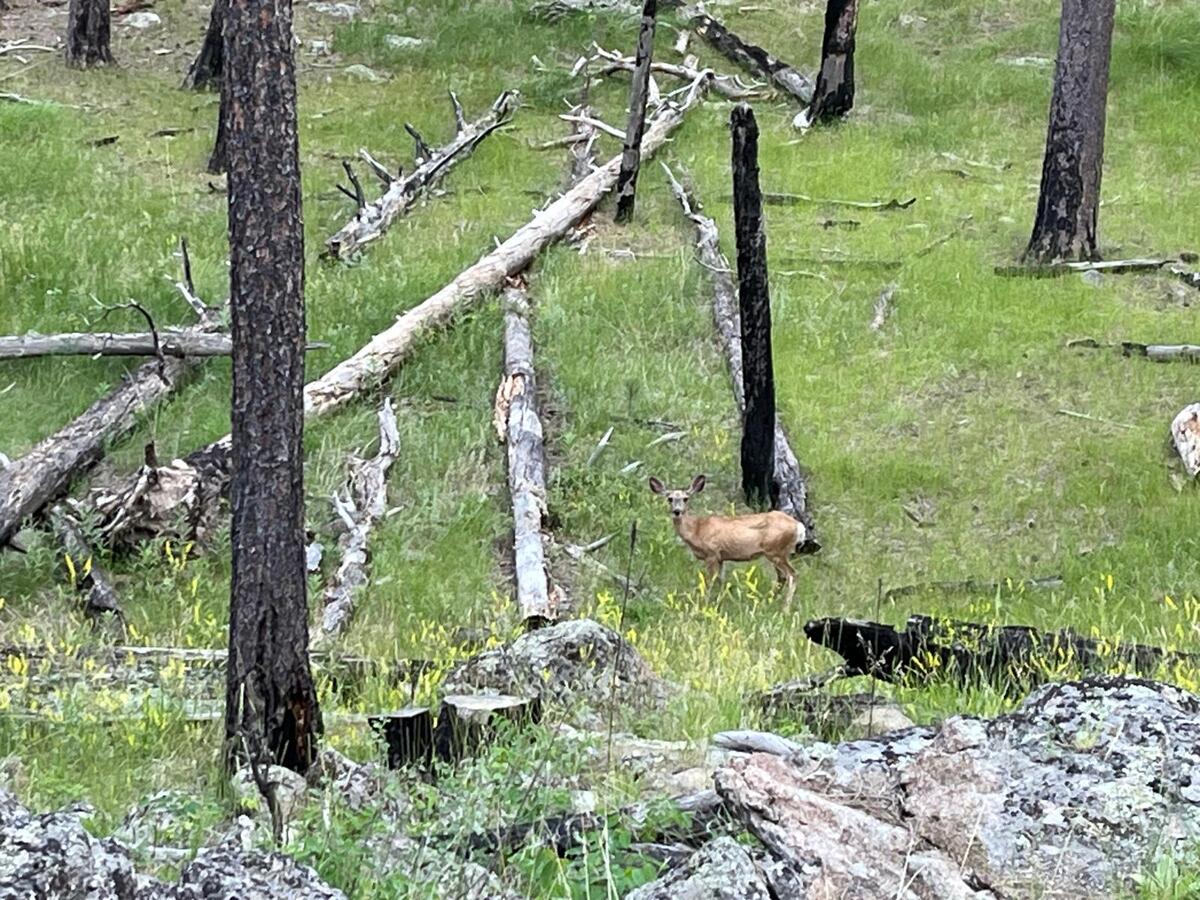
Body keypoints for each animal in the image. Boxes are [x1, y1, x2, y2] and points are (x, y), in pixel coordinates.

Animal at [652, 472, 811, 607]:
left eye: (685, 498)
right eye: (670, 498)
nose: (677, 511)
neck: (697, 530)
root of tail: (799, 526)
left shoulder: (712, 553)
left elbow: (710, 581)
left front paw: (706, 603)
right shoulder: (721, 558)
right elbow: (721, 581)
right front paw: (719, 602)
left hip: (775, 551)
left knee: (792, 575)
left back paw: (785, 608)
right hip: (778, 552)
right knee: (782, 577)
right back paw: (768, 602)